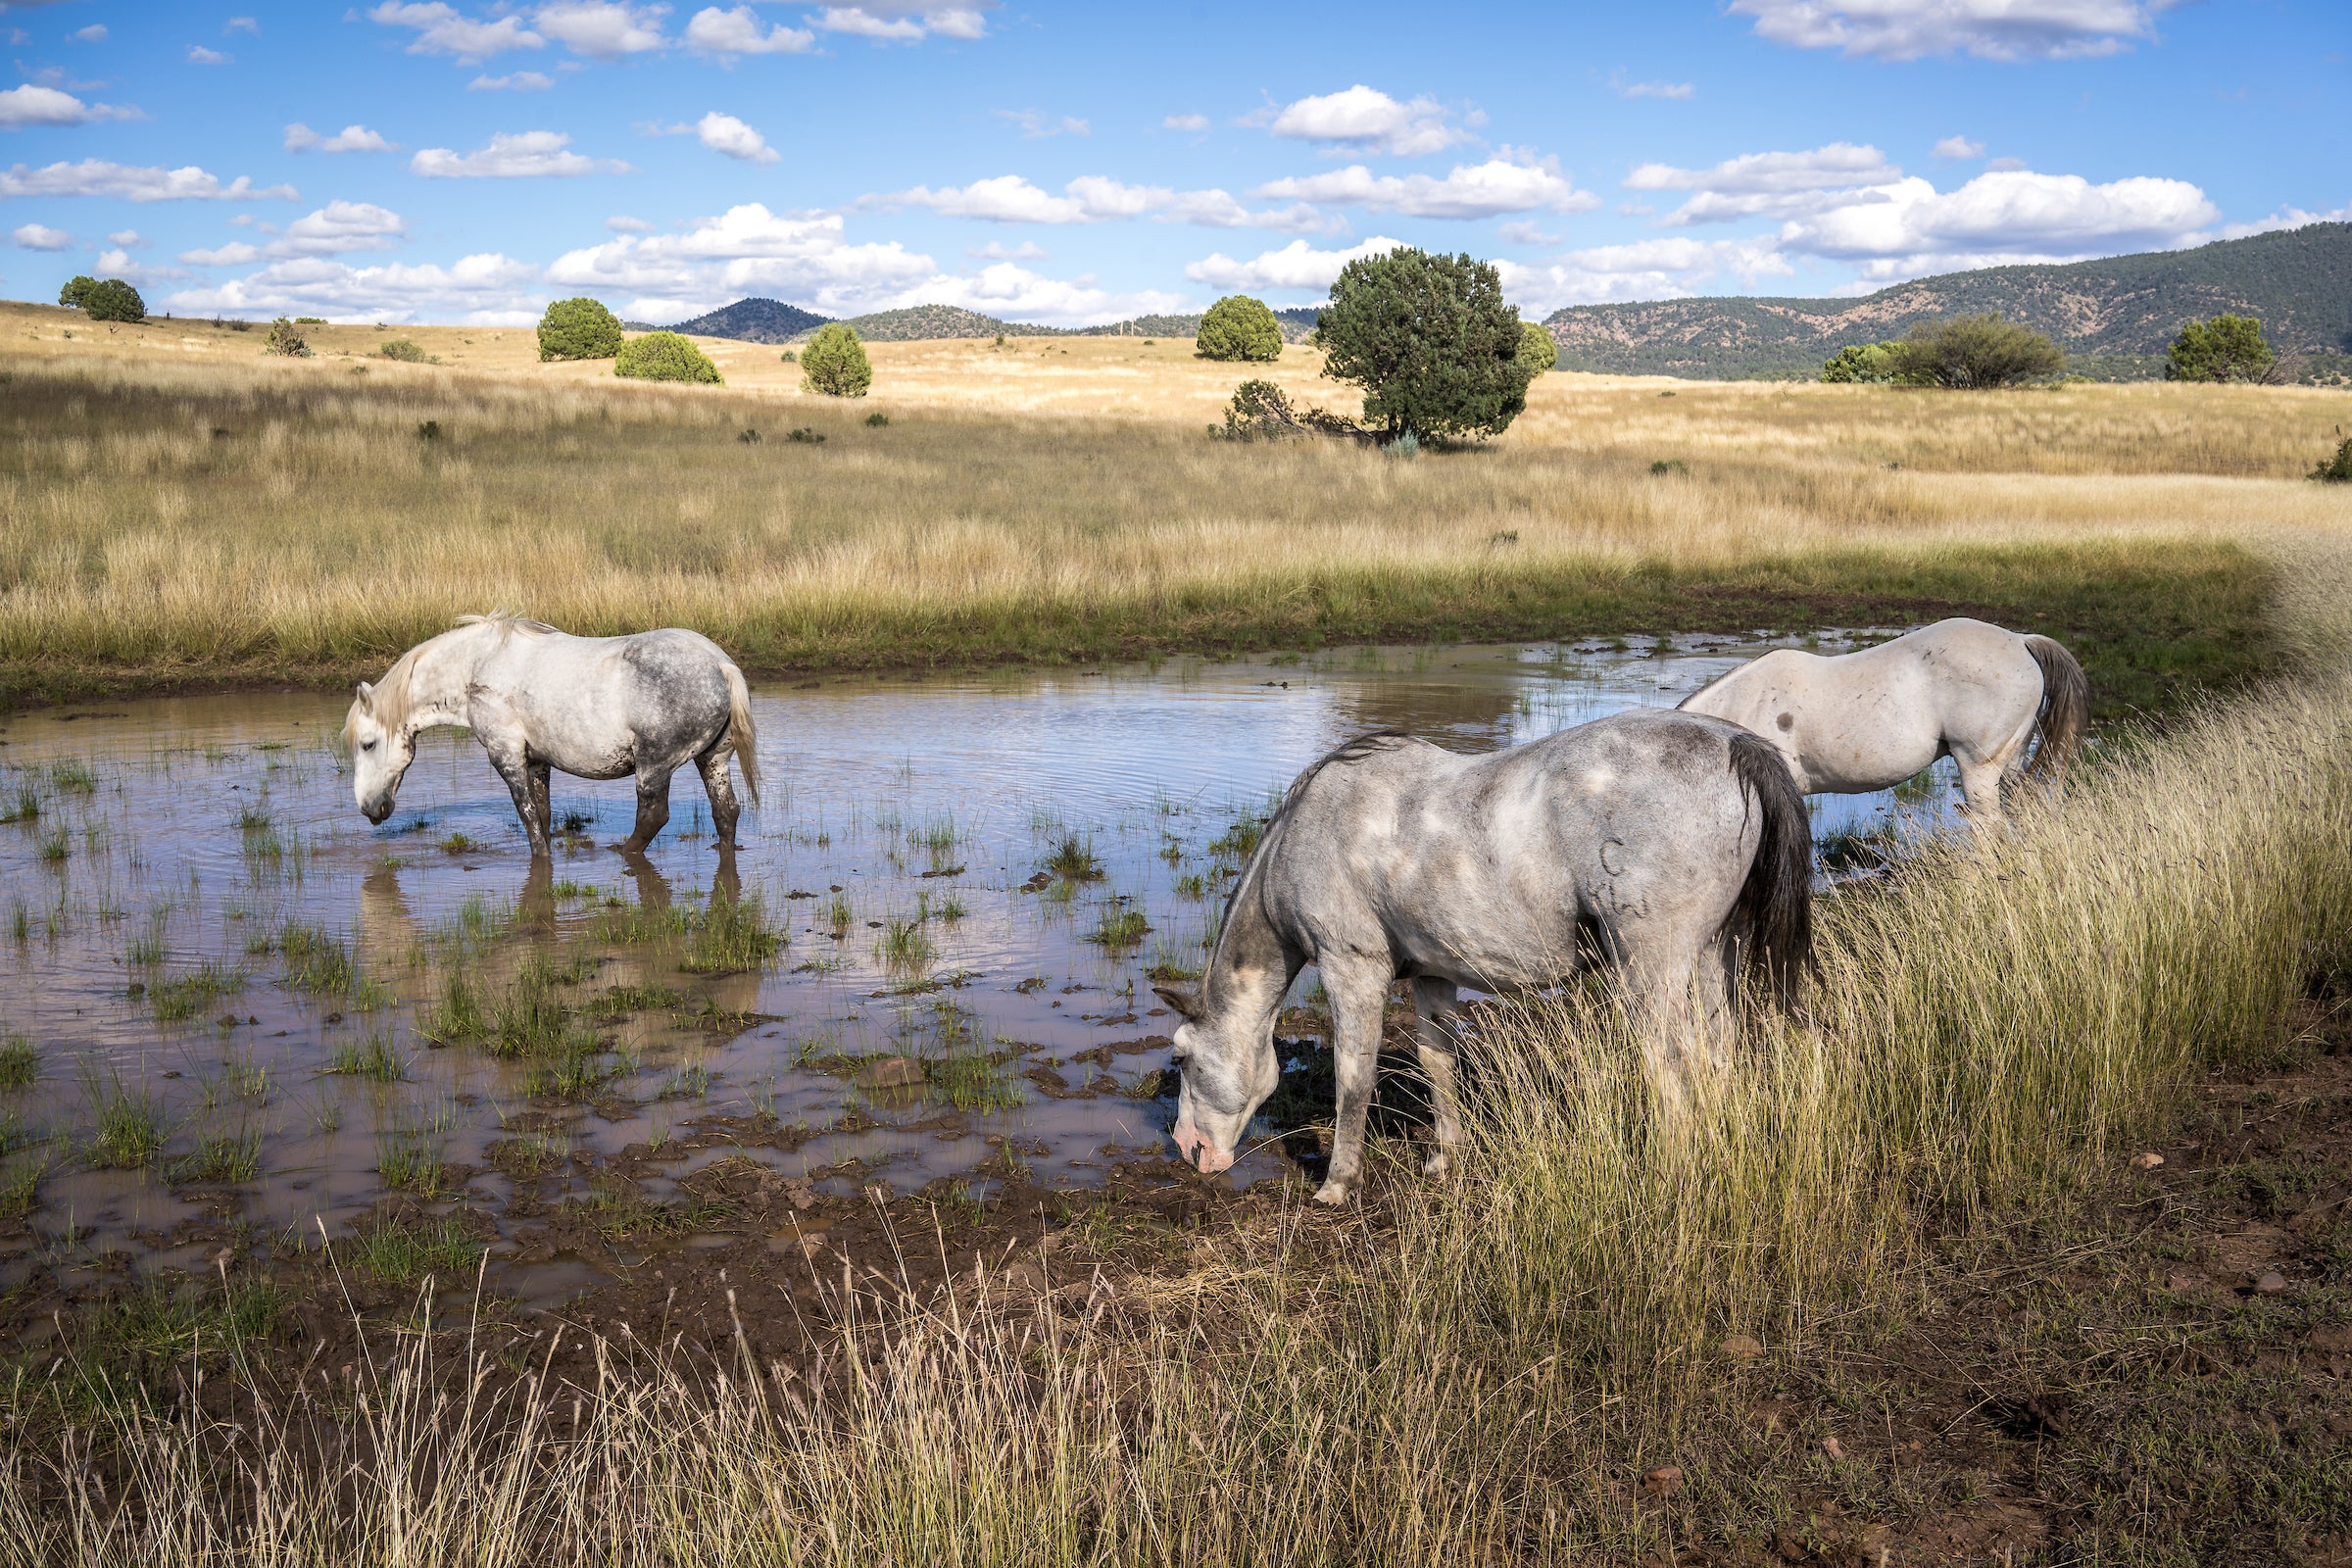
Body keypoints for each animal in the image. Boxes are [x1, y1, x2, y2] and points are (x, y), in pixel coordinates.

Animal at [341, 615, 757, 859]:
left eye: (367, 744)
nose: (369, 808)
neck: (475, 666)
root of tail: (720, 664)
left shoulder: (506, 754)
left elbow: (527, 816)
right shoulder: (537, 760)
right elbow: (542, 813)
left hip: (654, 765)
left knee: (654, 815)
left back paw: (624, 852)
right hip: (713, 759)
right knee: (726, 812)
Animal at [1148, 705, 1806, 1212]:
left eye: (1181, 1058)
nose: (1187, 1149)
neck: (1310, 828)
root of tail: (1737, 745)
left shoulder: (1351, 971)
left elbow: (1353, 1081)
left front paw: (1337, 1184)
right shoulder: (1433, 978)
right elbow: (1438, 1064)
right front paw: (1445, 1158)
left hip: (1654, 971)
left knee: (1675, 1061)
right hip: (1715, 959)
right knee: (1718, 1055)